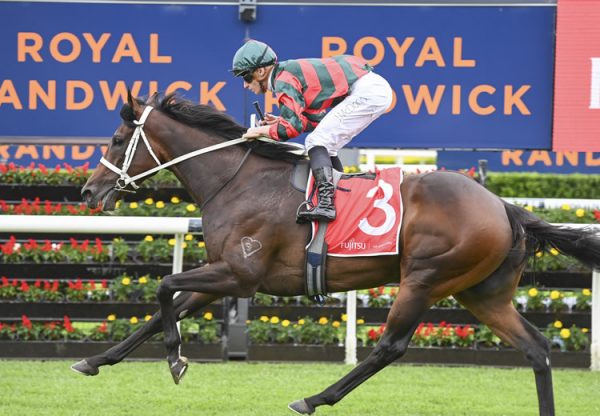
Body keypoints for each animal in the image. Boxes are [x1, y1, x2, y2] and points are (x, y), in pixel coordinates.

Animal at [75, 92, 600, 414]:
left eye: (118, 140)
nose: (88, 191)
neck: (238, 181)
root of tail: (505, 207)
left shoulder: (239, 274)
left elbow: (165, 288)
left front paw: (176, 359)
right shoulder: (223, 271)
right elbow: (163, 308)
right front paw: (95, 361)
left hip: (426, 278)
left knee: (390, 347)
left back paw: (312, 399)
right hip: (481, 293)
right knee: (537, 349)